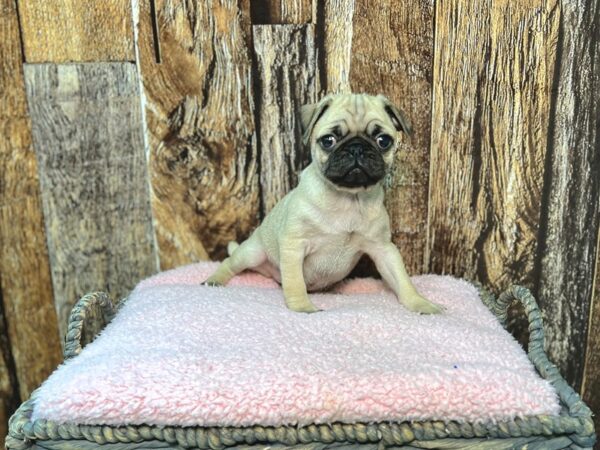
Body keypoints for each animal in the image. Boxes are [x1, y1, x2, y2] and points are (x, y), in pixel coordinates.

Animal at [204, 93, 442, 314]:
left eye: (383, 141)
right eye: (328, 140)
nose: (357, 148)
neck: (348, 198)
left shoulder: (384, 249)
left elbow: (402, 280)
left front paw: (421, 304)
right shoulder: (294, 245)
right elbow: (295, 282)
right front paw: (302, 307)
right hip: (252, 252)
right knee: (230, 263)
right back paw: (214, 280)